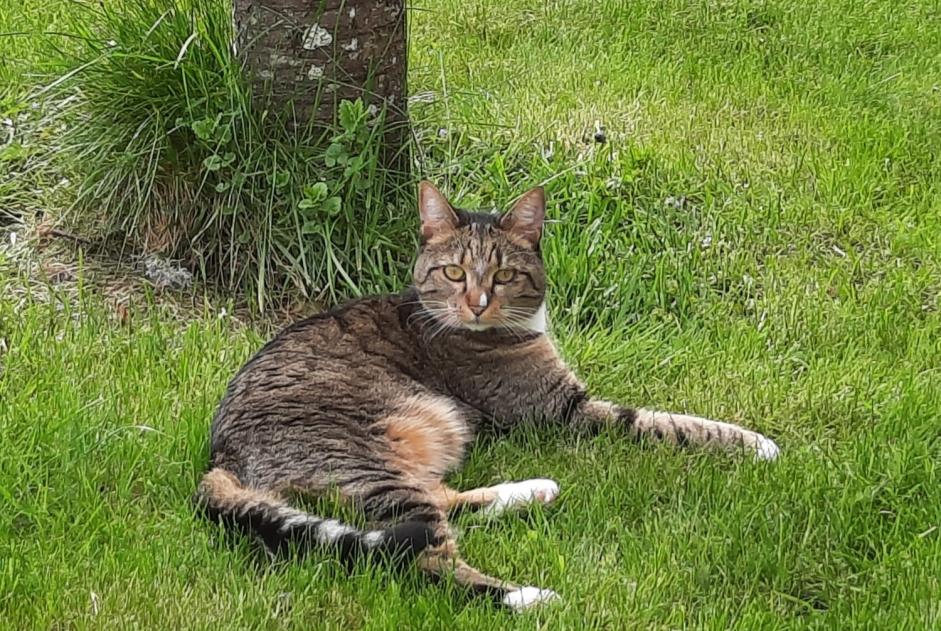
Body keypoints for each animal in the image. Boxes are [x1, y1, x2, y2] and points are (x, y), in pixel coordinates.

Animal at [196, 181, 780, 612]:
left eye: (503, 274)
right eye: (455, 271)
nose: (477, 303)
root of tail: (220, 460)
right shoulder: (565, 410)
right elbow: (666, 422)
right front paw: (755, 443)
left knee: (439, 503)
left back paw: (534, 490)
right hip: (373, 466)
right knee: (421, 555)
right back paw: (528, 597)